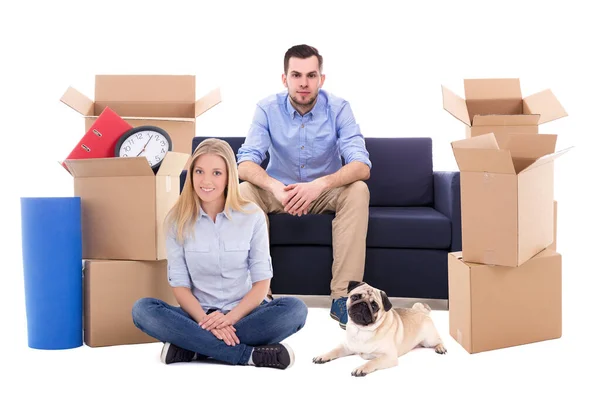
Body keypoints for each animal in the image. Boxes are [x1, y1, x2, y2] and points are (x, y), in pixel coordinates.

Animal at [314, 280, 446, 376]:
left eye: (374, 306)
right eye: (355, 297)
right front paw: (322, 356)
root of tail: (420, 311)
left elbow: (373, 361)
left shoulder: (388, 356)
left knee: (439, 340)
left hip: (429, 339)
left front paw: (361, 368)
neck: (361, 330)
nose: (363, 304)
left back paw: (440, 348)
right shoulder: (346, 347)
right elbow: (334, 350)